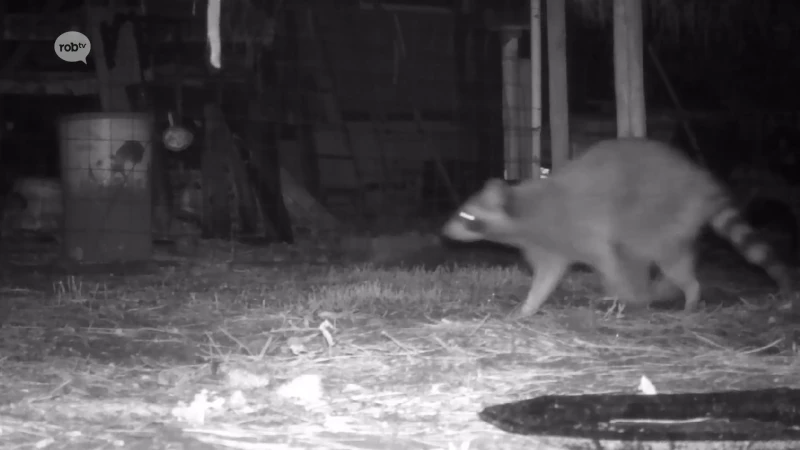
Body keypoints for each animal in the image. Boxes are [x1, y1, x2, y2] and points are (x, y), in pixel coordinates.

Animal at [440, 137, 792, 316]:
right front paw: (529, 307)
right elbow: (547, 277)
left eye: (468, 217)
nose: (444, 231)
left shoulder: (574, 227)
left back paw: (683, 291)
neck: (523, 209)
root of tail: (702, 182)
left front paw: (622, 294)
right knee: (668, 254)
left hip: (655, 209)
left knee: (646, 253)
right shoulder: (548, 246)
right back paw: (671, 288)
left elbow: (606, 261)